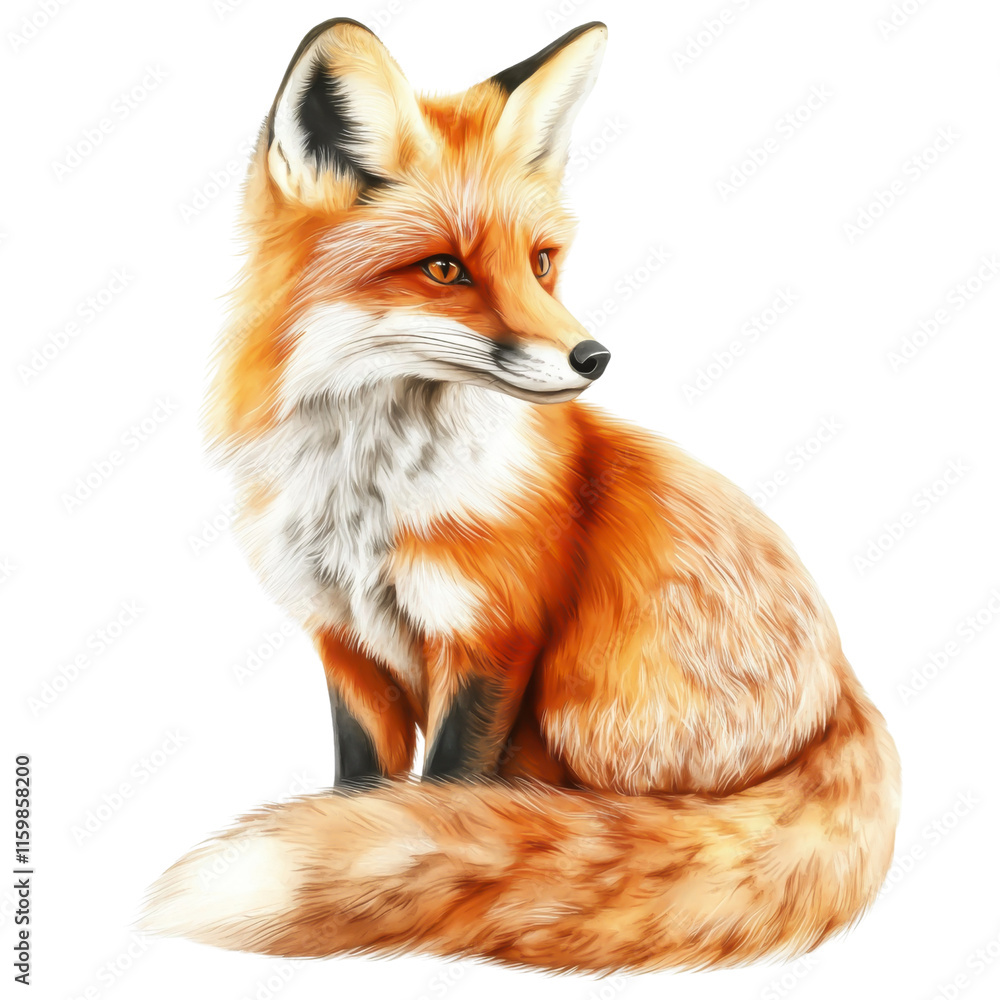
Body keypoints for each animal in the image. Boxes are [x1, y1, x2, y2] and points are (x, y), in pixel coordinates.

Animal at [141, 18, 901, 974]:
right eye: (443, 269)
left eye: (541, 263)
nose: (594, 358)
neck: (369, 500)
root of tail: (845, 695)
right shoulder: (344, 642)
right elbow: (365, 786)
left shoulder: (493, 638)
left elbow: (442, 797)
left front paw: (405, 871)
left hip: (584, 701)